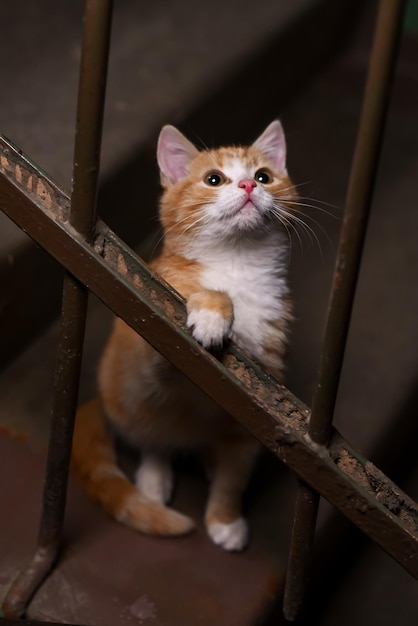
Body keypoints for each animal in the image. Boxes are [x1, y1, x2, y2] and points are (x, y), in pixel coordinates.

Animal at [72, 119, 296, 548]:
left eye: (264, 176)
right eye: (214, 179)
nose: (248, 185)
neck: (236, 264)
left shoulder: (259, 407)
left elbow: (235, 475)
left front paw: (225, 518)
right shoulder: (152, 329)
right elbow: (197, 312)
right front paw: (212, 313)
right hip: (126, 394)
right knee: (154, 440)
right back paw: (153, 480)